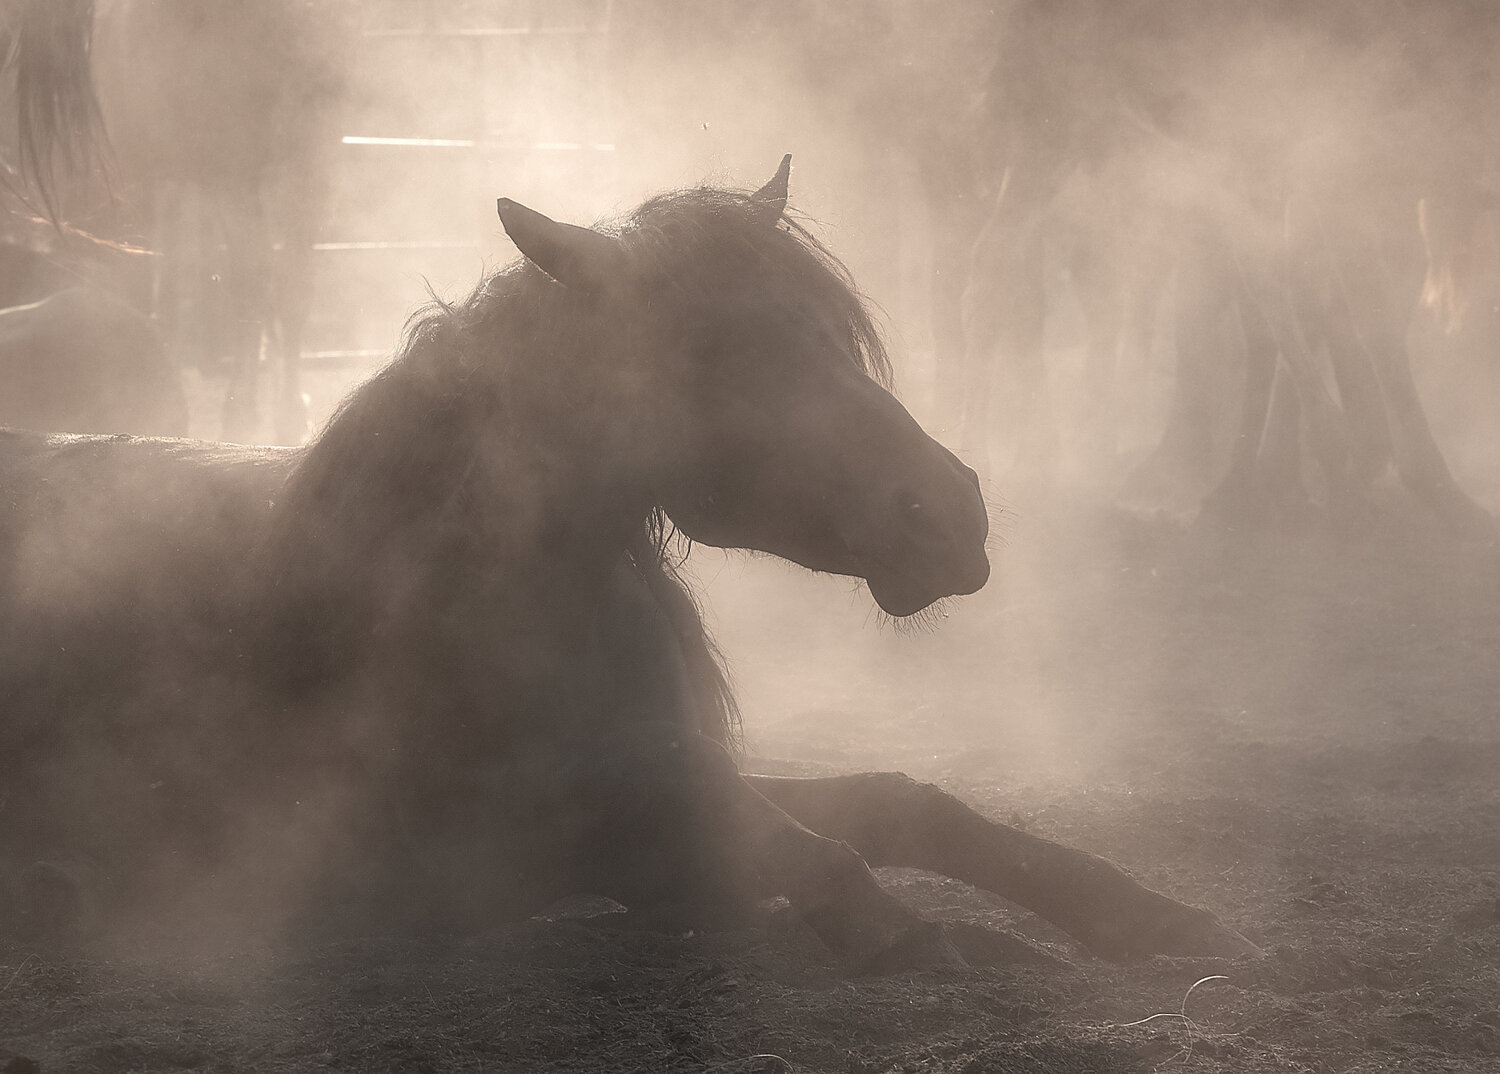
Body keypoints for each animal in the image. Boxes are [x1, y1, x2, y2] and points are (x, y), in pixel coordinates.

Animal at [0, 162, 1257, 966]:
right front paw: (899, 934)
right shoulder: (515, 840)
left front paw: (1156, 922)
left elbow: (908, 806)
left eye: (834, 337)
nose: (948, 513)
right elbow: (786, 834)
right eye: (708, 348)